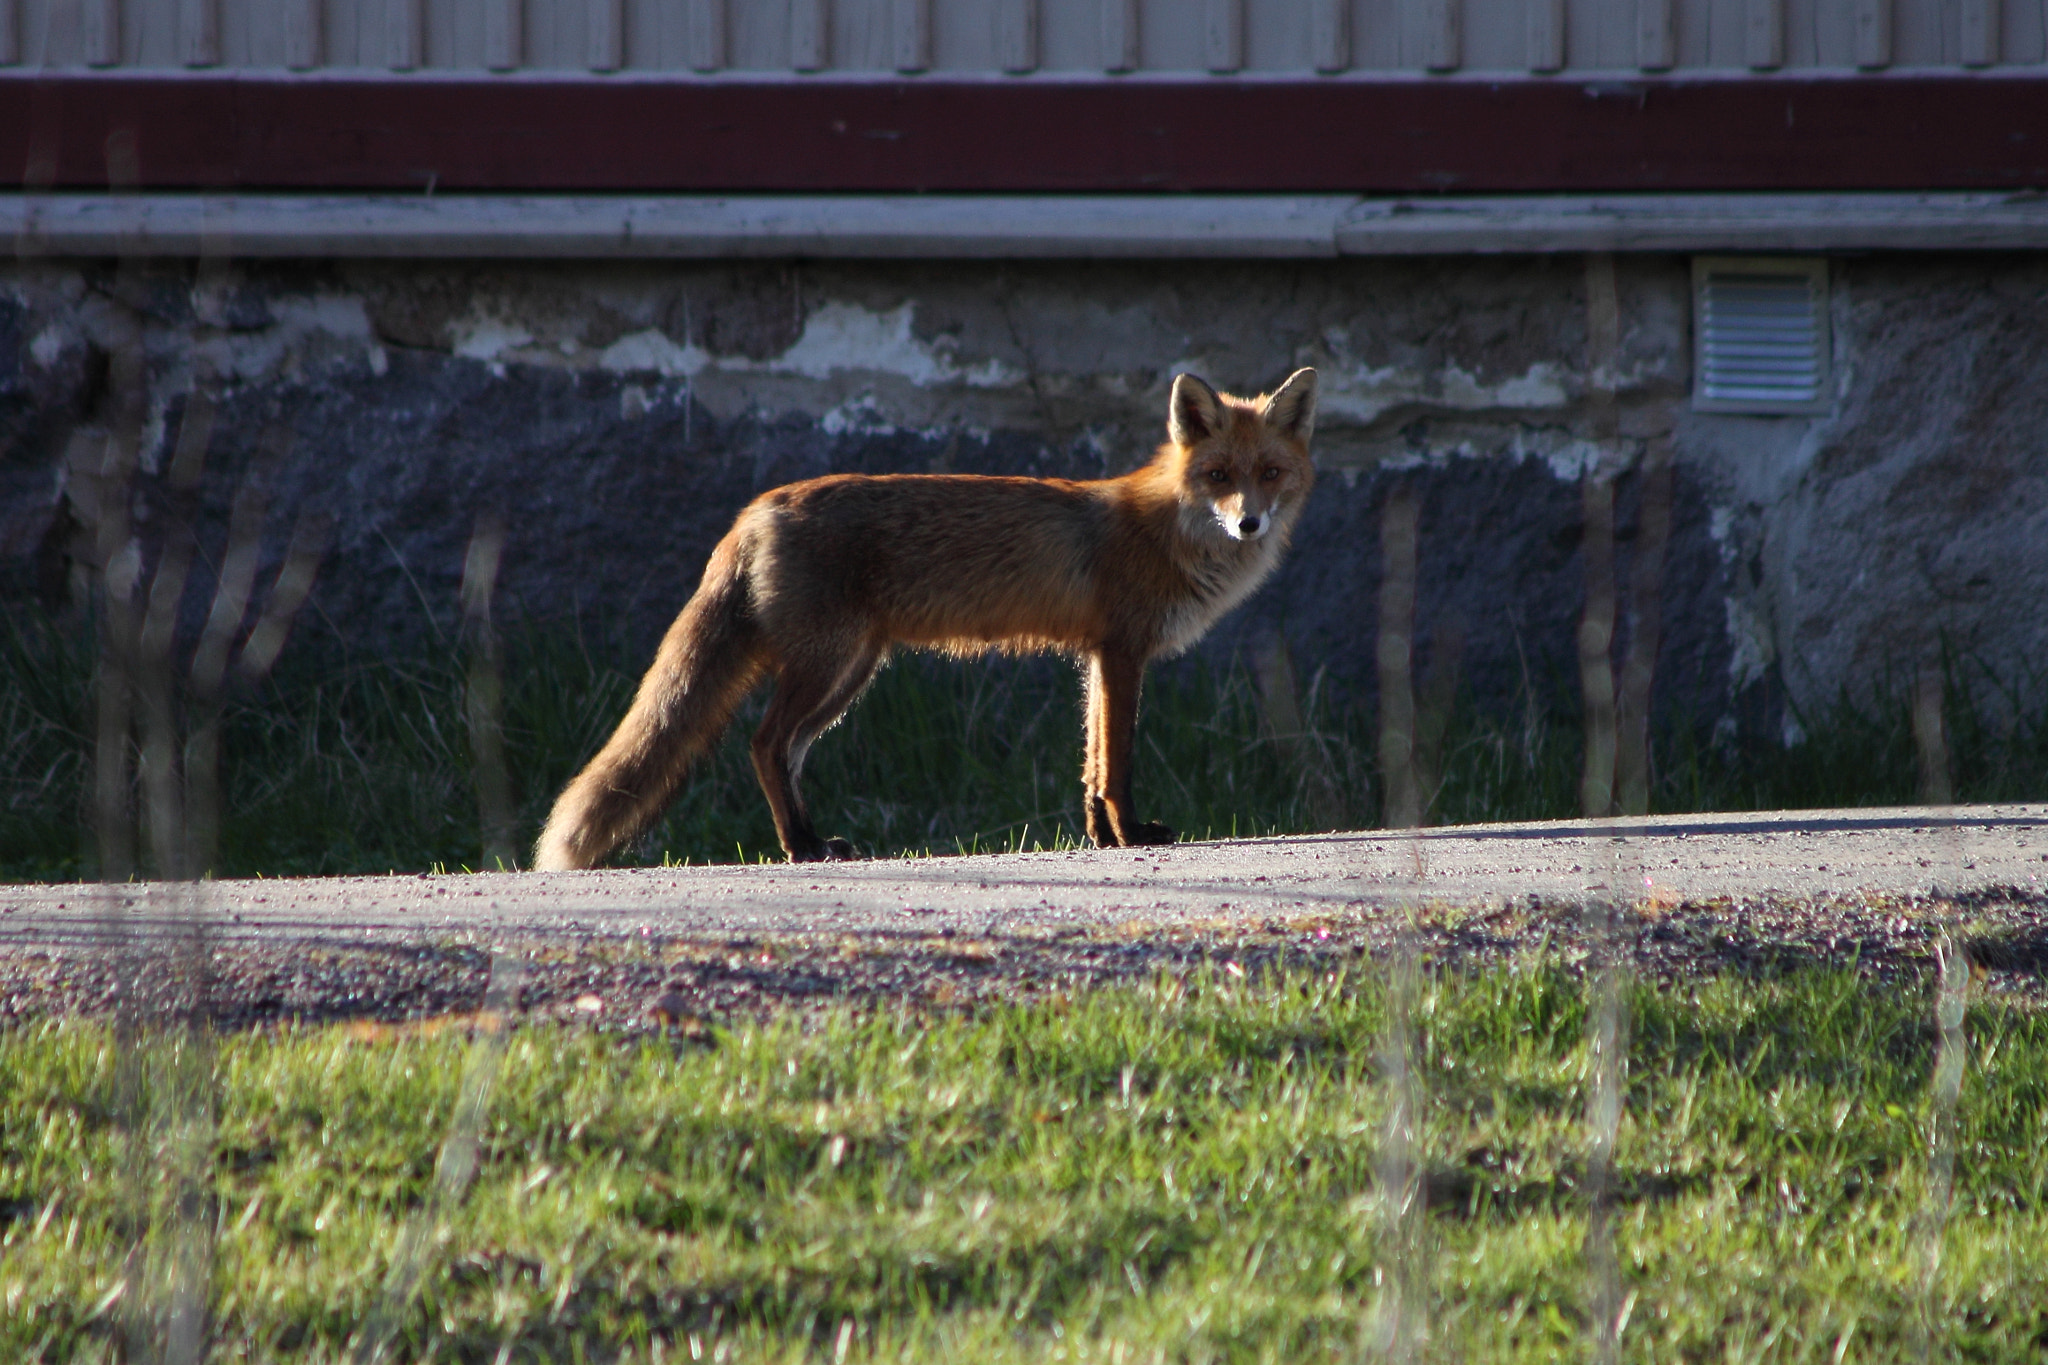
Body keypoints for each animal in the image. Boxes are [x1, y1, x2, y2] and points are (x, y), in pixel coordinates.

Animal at [536, 368, 1318, 871]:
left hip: (849, 675)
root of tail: (755, 508)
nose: (1249, 523)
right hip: (829, 665)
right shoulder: (1124, 651)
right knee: (762, 742)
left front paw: (1101, 838)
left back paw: (815, 842)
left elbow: (1093, 760)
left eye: (1269, 473)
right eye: (1218, 476)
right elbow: (1117, 763)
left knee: (785, 751)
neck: (1167, 530)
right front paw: (1130, 837)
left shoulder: (1098, 657)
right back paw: (798, 848)